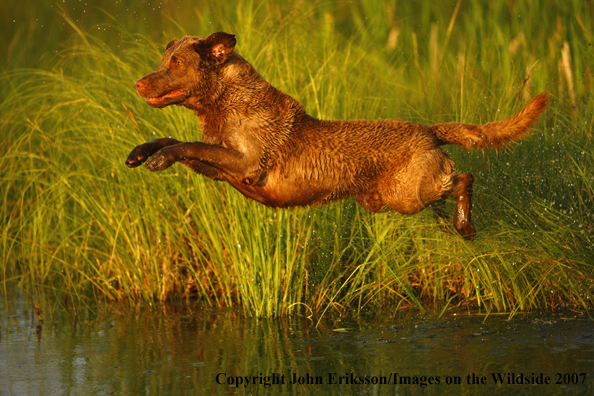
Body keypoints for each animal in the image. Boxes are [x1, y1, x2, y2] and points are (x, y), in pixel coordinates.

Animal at [127, 31, 548, 241]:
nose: (138, 83)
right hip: (392, 199)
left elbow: (187, 144)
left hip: (407, 194)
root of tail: (428, 130)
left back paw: (465, 225)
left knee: (465, 178)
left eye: (176, 63)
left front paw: (158, 159)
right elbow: (175, 141)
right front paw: (141, 153)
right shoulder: (220, 168)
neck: (226, 101)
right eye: (164, 60)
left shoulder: (246, 165)